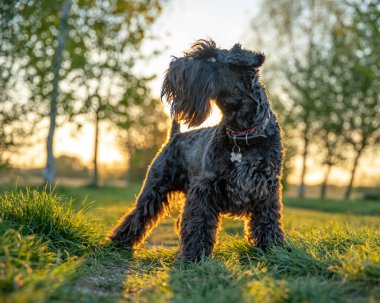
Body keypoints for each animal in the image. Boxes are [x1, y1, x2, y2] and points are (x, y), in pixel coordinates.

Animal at [109, 39, 282, 262]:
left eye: (211, 58)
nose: (173, 66)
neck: (242, 135)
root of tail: (174, 137)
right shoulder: (204, 189)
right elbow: (199, 223)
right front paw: (194, 256)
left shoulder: (267, 189)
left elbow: (268, 221)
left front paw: (273, 248)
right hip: (154, 187)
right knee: (139, 214)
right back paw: (118, 241)